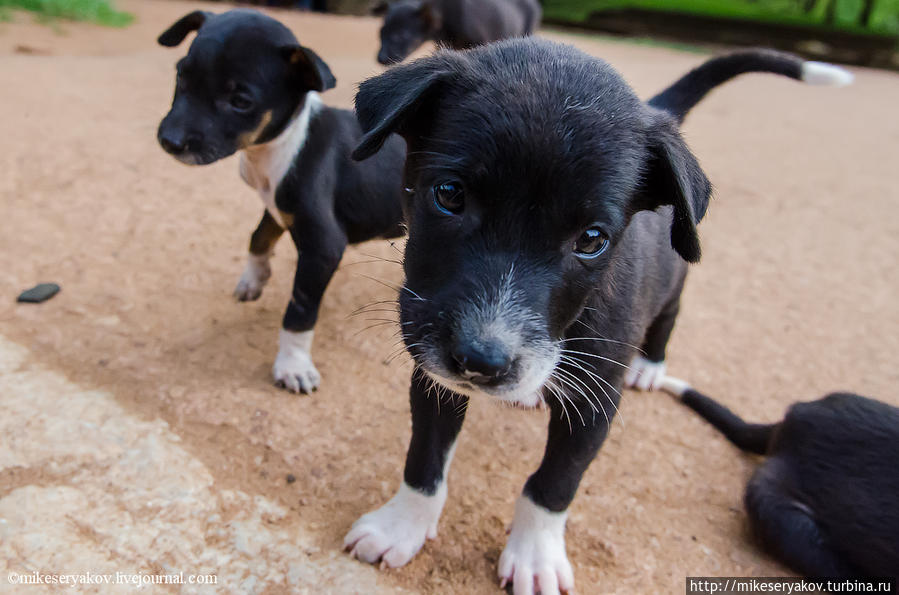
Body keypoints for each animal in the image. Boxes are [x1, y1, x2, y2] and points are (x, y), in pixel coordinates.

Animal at [156, 9, 406, 394]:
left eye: (241, 101)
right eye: (182, 75)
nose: (169, 140)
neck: (282, 145)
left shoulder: (322, 247)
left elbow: (299, 312)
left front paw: (293, 365)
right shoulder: (276, 206)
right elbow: (258, 237)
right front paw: (254, 280)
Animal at [342, 43, 856, 595]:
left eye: (592, 240)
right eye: (450, 195)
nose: (482, 360)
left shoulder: (597, 400)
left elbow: (554, 483)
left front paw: (536, 556)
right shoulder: (433, 370)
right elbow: (425, 457)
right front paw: (401, 526)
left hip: (674, 284)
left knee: (669, 316)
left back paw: (651, 366)